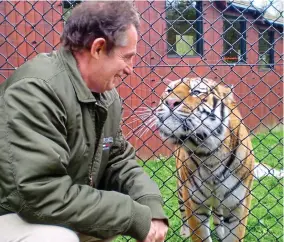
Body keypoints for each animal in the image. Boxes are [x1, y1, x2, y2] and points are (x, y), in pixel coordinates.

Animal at [155, 77, 255, 242]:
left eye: (196, 92)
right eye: (169, 91)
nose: (169, 102)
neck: (210, 156)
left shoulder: (238, 205)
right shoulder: (194, 204)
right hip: (181, 189)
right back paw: (184, 233)